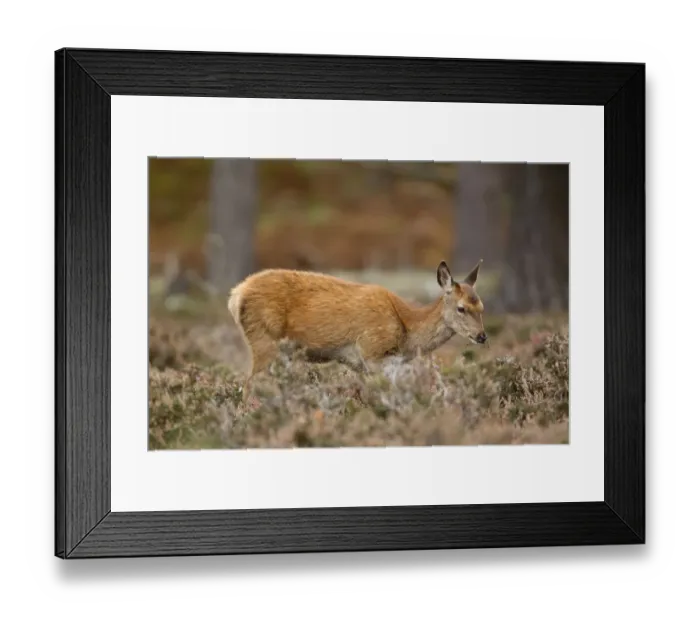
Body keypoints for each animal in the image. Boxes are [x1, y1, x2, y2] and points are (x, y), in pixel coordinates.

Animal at [228, 259, 488, 399]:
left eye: (482, 307)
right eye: (462, 308)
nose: (482, 336)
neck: (406, 334)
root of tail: (236, 295)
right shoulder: (371, 351)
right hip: (264, 339)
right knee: (249, 385)